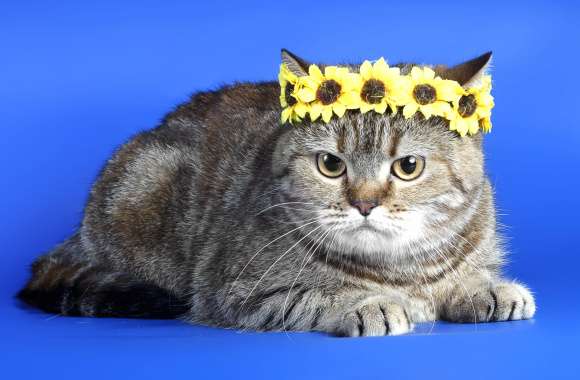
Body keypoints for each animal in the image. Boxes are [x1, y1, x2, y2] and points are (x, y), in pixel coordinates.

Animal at [18, 49, 536, 336]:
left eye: (408, 167)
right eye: (331, 165)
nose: (364, 203)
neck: (402, 269)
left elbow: (465, 276)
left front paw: (485, 288)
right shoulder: (239, 292)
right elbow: (320, 296)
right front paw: (369, 303)